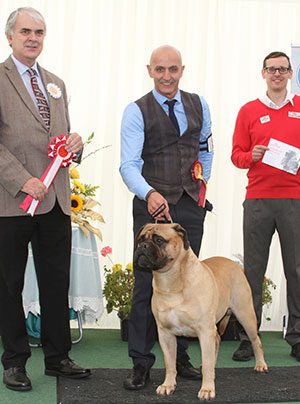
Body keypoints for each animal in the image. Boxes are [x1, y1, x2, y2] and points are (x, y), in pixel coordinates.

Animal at [134, 224, 270, 400]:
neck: (170, 282)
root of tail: (234, 264)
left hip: (245, 315)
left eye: (159, 240)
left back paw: (260, 365)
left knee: (255, 340)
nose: (142, 246)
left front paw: (206, 389)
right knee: (217, 340)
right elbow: (170, 363)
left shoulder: (204, 331)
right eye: (141, 239)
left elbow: (206, 363)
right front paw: (168, 385)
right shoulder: (165, 334)